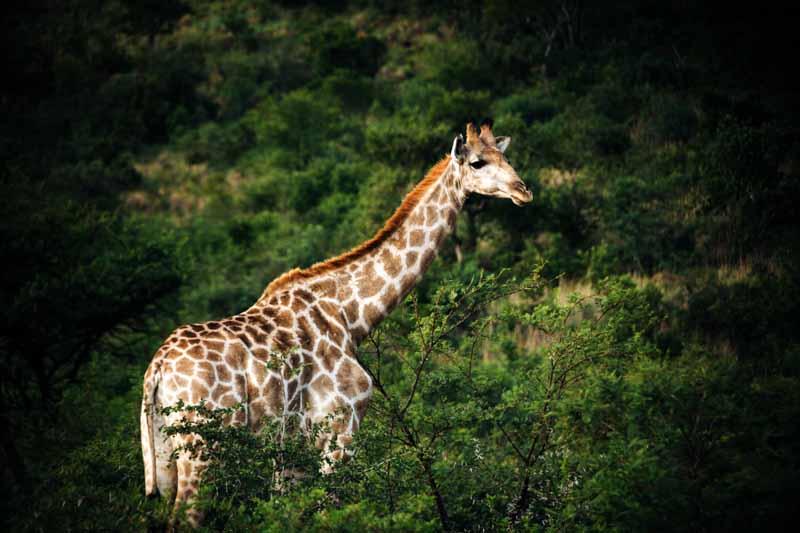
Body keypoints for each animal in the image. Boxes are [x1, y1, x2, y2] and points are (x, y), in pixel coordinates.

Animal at [142, 119, 532, 524]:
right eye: (477, 162)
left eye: (504, 155)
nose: (524, 190)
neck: (351, 315)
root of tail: (157, 369)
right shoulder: (341, 427)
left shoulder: (291, 447)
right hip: (204, 445)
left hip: (166, 453)